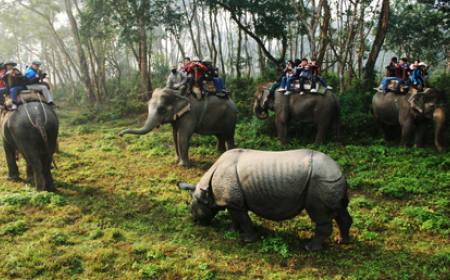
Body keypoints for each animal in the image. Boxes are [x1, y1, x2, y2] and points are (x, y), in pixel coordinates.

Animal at [178, 149, 354, 252]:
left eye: (193, 209)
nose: (195, 221)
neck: (207, 191)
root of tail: (340, 171)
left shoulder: (235, 202)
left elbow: (243, 219)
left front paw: (248, 240)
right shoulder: (232, 201)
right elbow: (235, 217)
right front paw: (231, 231)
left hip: (320, 181)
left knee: (320, 216)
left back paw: (310, 248)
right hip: (329, 180)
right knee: (340, 210)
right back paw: (342, 241)